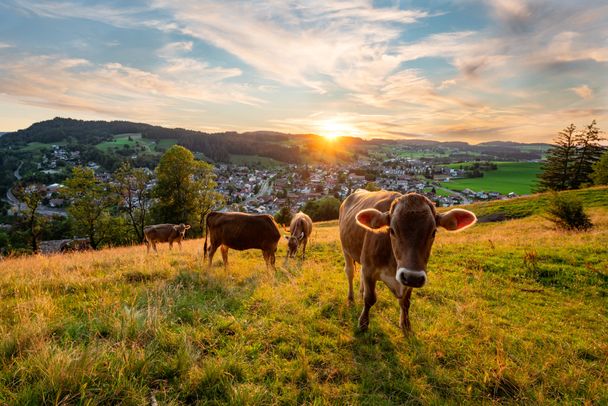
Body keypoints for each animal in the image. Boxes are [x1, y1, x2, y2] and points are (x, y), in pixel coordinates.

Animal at [340, 189, 478, 332]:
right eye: (392, 230)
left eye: (433, 232)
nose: (412, 277)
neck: (393, 265)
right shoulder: (369, 269)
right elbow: (370, 298)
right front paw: (363, 323)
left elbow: (405, 303)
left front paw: (406, 325)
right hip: (345, 249)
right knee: (350, 272)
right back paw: (351, 299)